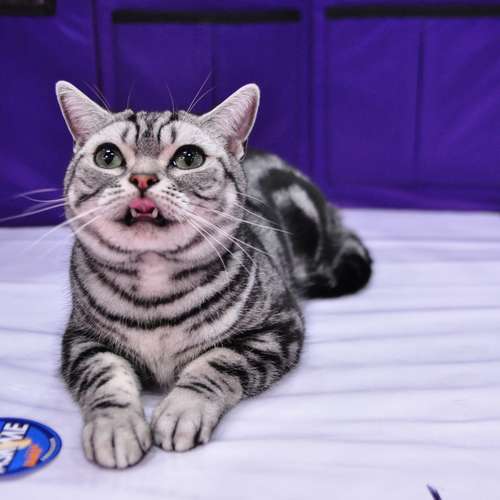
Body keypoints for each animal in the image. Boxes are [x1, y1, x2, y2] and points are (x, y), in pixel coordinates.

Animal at [56, 81, 372, 468]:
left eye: (189, 158)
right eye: (108, 157)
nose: (143, 177)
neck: (154, 293)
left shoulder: (278, 328)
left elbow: (214, 364)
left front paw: (181, 410)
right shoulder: (81, 340)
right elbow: (105, 378)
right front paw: (115, 427)